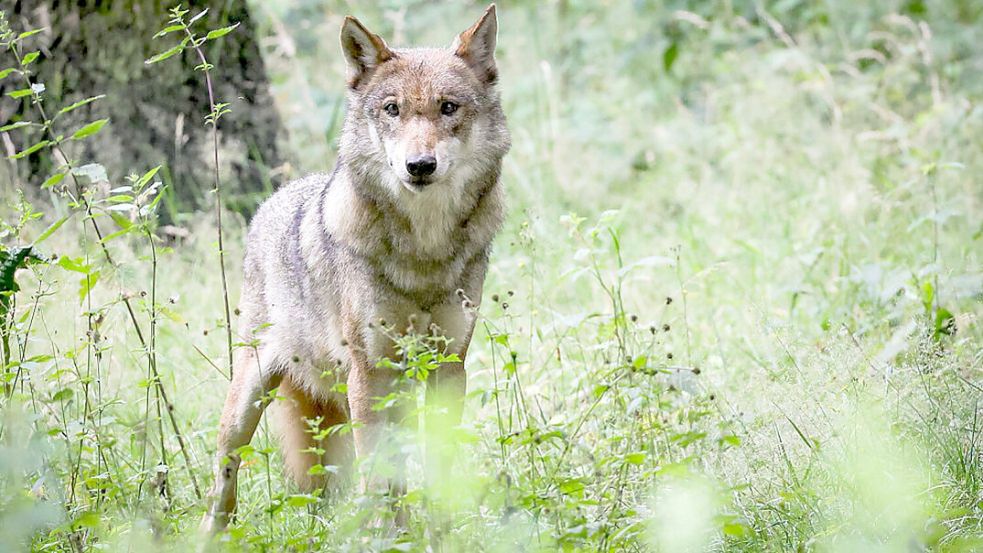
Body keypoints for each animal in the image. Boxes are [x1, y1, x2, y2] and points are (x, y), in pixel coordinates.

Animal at [200, 4, 509, 533]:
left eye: (448, 108)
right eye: (392, 109)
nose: (419, 165)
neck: (423, 251)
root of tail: (274, 199)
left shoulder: (449, 366)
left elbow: (438, 465)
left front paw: (440, 531)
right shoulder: (370, 371)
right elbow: (376, 471)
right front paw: (385, 535)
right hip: (249, 398)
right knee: (224, 474)